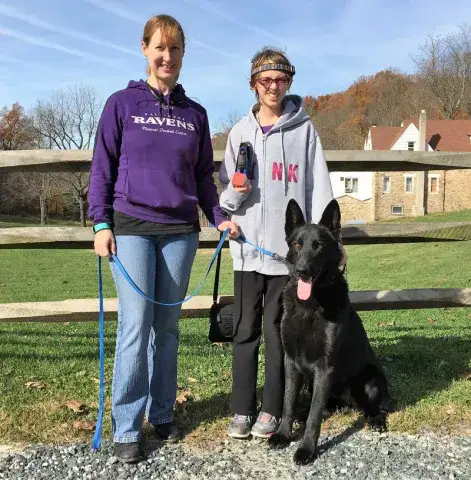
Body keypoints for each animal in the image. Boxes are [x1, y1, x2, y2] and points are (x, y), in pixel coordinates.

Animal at [268, 198, 392, 465]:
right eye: (297, 244)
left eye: (319, 246)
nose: (302, 270)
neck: (310, 306)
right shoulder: (291, 362)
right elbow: (288, 402)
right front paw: (283, 434)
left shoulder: (324, 368)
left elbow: (315, 418)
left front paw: (306, 449)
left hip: (370, 380)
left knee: (376, 407)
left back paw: (376, 419)